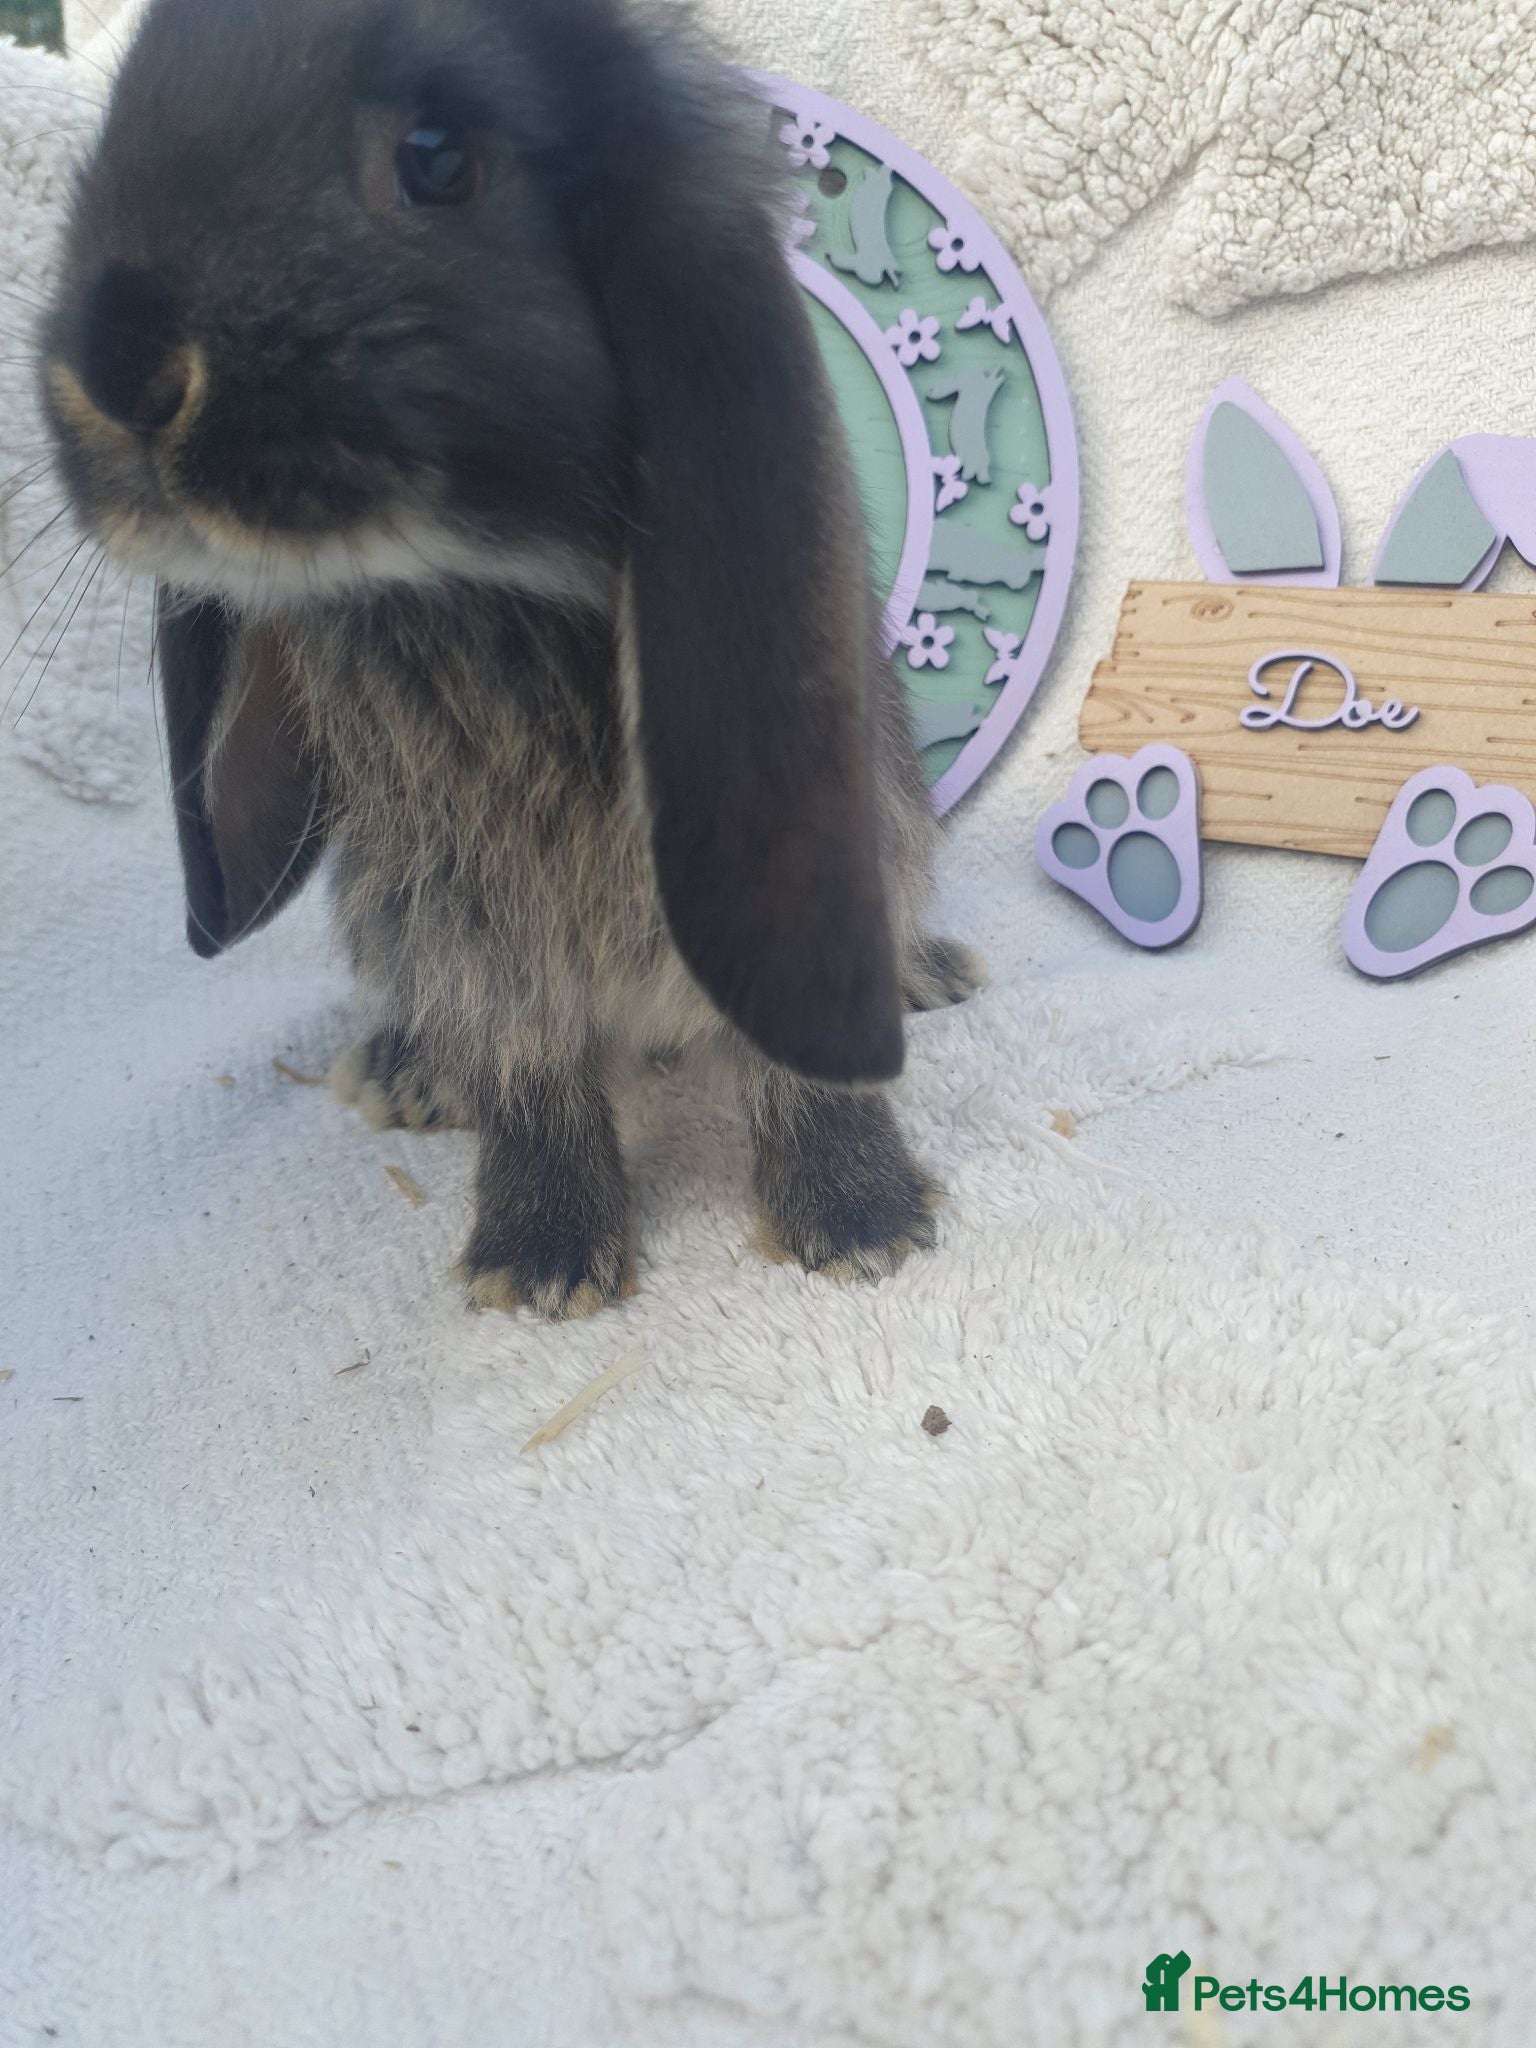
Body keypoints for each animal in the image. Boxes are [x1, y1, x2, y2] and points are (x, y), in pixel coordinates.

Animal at [41, 0, 988, 1319]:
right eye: (119, 116)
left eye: (437, 158)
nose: (116, 366)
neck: (473, 585)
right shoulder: (473, 918)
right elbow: (528, 1067)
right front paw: (540, 1258)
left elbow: (799, 1067)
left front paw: (862, 1219)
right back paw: (406, 1071)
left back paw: (927, 976)